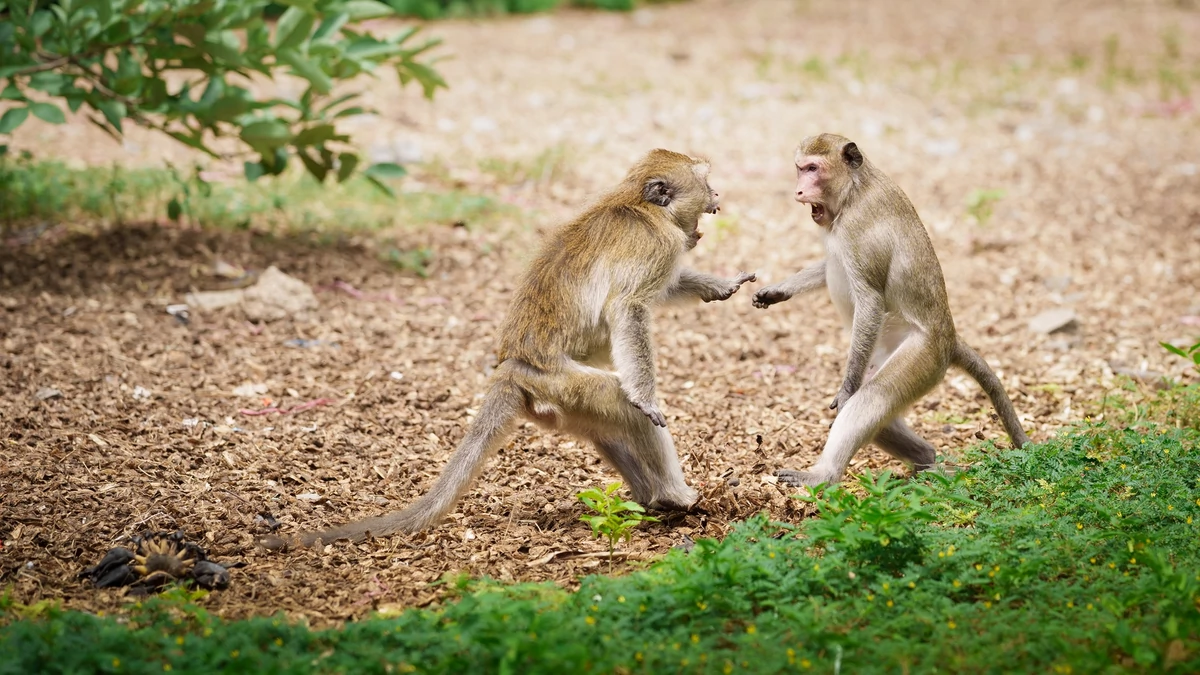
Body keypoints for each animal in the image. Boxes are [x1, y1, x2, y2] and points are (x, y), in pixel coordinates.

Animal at [264, 148, 753, 547]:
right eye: (705, 181)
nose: (718, 194)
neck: (638, 204)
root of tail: (511, 367)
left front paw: (719, 286)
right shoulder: (657, 245)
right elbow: (629, 308)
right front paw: (647, 397)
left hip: (558, 397)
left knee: (604, 424)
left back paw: (653, 501)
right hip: (559, 382)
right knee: (620, 404)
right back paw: (675, 496)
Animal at [753, 132, 1027, 482]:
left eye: (813, 169)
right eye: (800, 169)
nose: (798, 191)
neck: (854, 190)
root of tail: (949, 336)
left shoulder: (859, 232)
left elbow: (870, 299)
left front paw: (846, 391)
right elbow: (828, 266)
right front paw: (777, 290)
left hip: (923, 357)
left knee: (870, 397)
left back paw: (824, 475)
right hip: (881, 352)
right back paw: (924, 458)